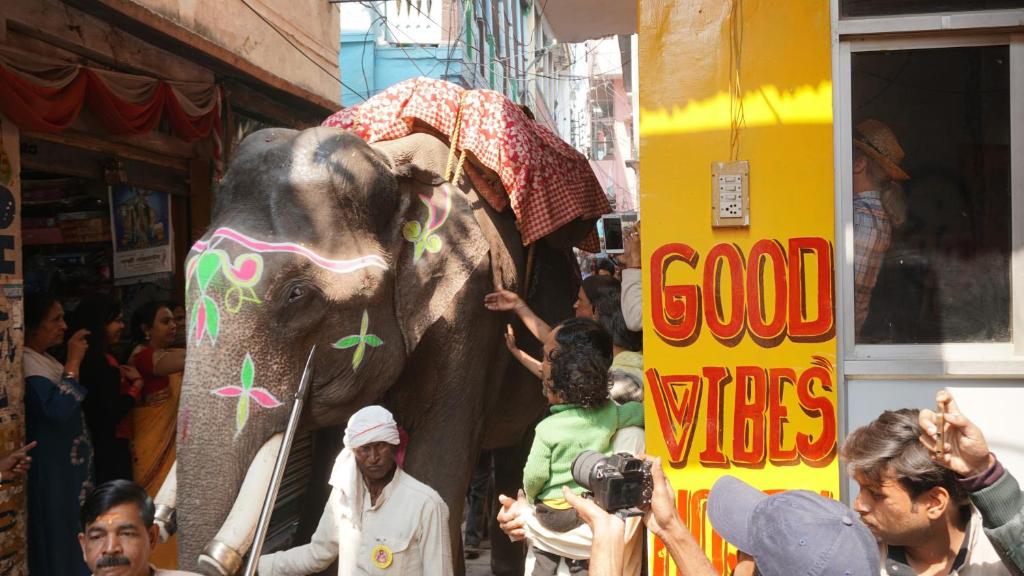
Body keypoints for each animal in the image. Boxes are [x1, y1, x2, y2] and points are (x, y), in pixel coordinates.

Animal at [171, 127, 581, 569]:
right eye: (186, 275)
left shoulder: (470, 309)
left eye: (297, 294)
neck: (392, 164)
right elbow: (332, 476)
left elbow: (438, 468)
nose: (210, 562)